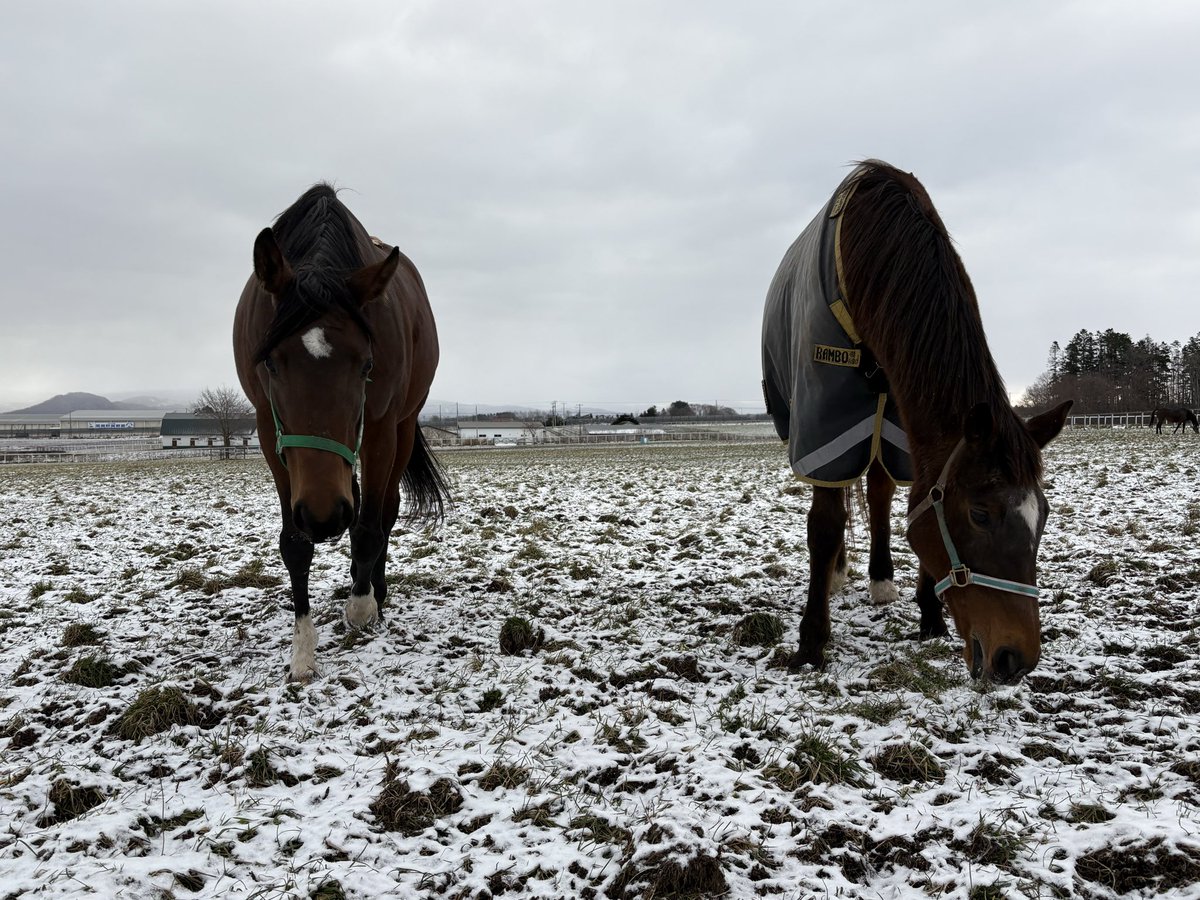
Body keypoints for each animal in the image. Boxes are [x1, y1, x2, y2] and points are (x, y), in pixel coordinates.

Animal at [233, 184, 450, 682]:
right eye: (271, 363)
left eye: (367, 365)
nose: (322, 516)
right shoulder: (268, 427)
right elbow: (294, 544)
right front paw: (302, 651)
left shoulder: (382, 427)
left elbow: (371, 525)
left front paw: (362, 606)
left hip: (400, 428)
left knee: (383, 510)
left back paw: (374, 589)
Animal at [762, 160, 1072, 683]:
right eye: (980, 514)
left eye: (1044, 515)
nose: (1015, 659)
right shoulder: (823, 423)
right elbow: (824, 525)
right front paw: (811, 643)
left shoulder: (908, 433)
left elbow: (909, 500)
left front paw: (929, 616)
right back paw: (839, 576)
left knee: (879, 493)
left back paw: (881, 580)